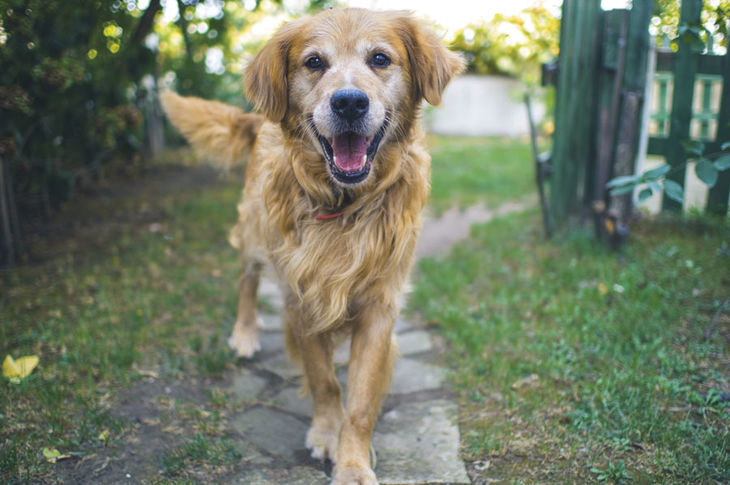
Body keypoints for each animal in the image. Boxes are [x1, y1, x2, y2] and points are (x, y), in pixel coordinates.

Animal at [164, 8, 460, 484]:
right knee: (246, 280)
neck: (345, 205)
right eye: (314, 62)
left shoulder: (379, 306)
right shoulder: (300, 297)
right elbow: (325, 380)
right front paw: (326, 434)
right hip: (254, 233)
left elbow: (360, 400)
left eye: (380, 59)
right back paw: (245, 333)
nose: (349, 102)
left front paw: (352, 462)